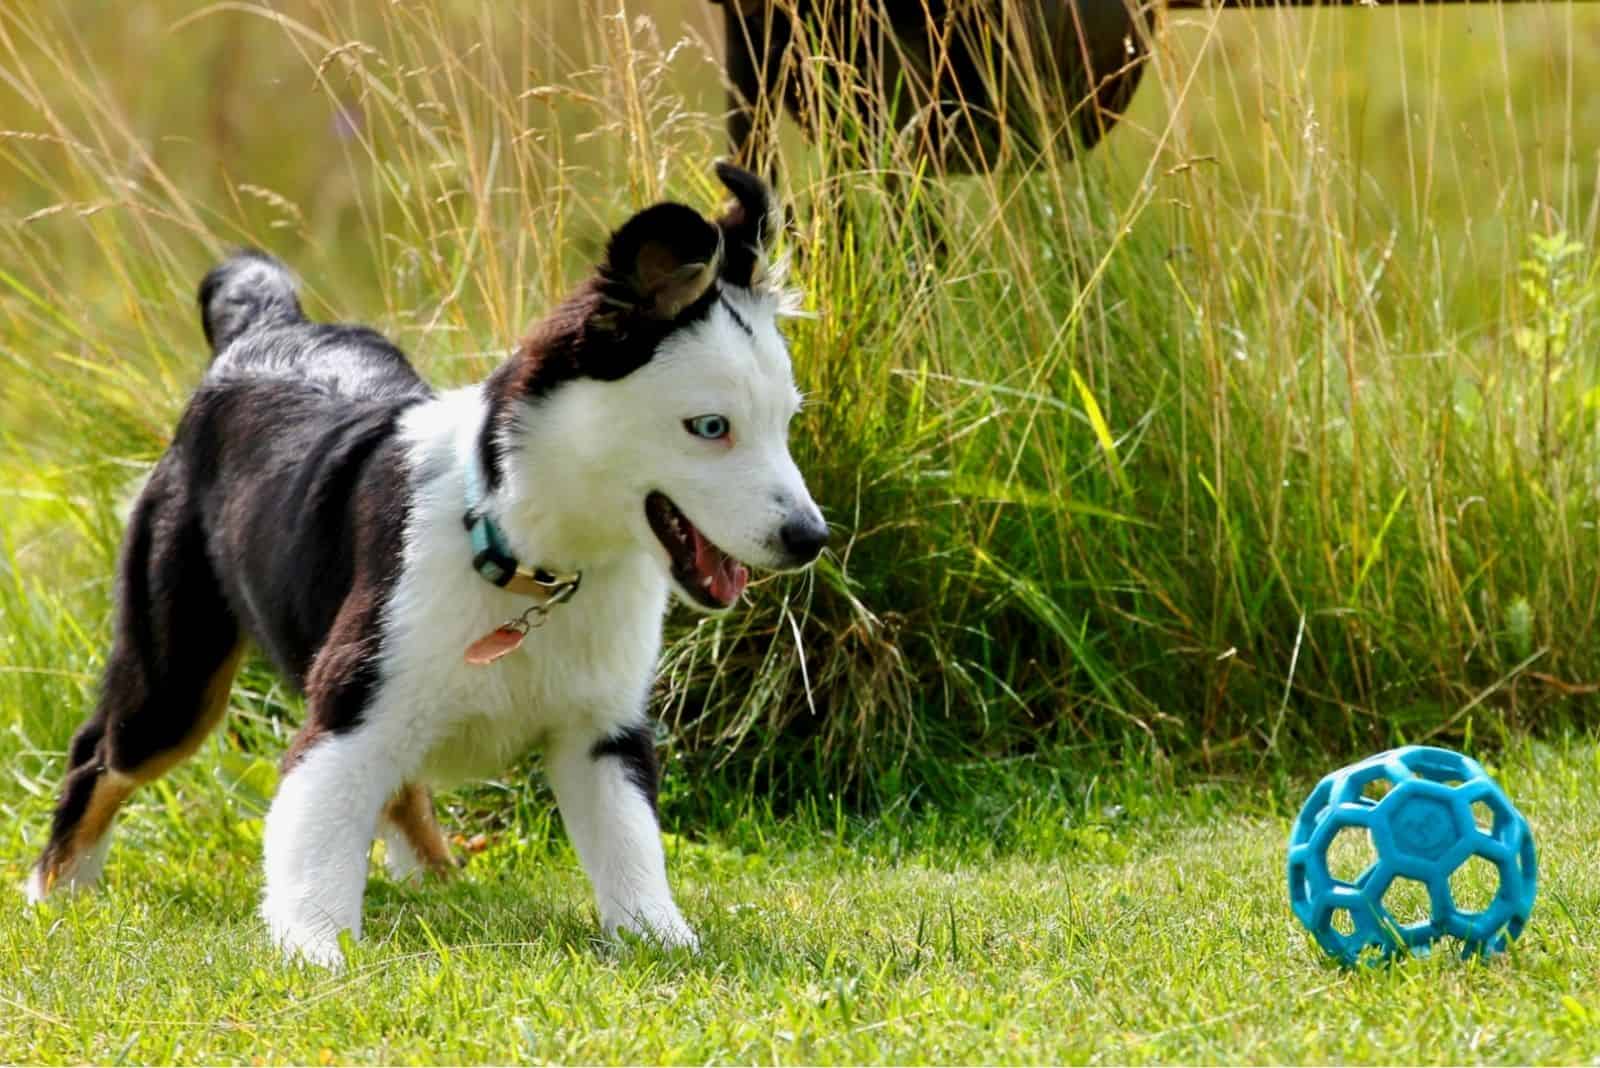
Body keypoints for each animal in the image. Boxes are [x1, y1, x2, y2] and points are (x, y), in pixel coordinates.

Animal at [28, 164, 825, 965]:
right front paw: (316, 954)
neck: (527, 559)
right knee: (99, 755)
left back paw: (439, 881)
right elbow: (315, 840)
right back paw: (53, 893)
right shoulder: (349, 706)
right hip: (175, 673)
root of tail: (263, 330)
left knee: (399, 784)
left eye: (787, 423)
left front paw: (667, 943)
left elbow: (631, 850)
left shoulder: (602, 729)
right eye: (711, 427)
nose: (810, 537)